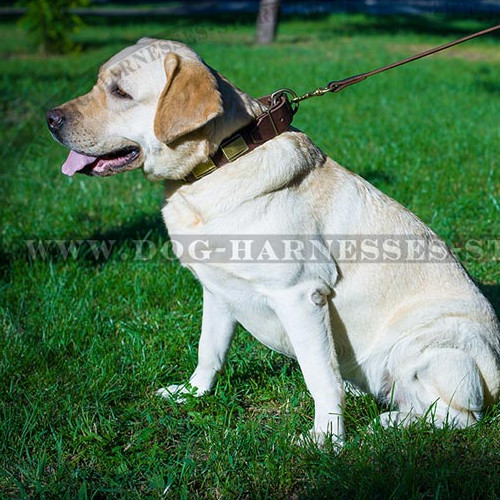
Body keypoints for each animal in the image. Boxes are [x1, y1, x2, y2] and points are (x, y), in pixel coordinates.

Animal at [47, 38, 500, 446]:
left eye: (120, 92)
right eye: (98, 82)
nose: (50, 118)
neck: (217, 165)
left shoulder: (301, 295)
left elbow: (319, 379)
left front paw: (326, 439)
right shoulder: (217, 290)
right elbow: (208, 350)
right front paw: (192, 394)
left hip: (423, 344)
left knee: (458, 417)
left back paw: (382, 425)